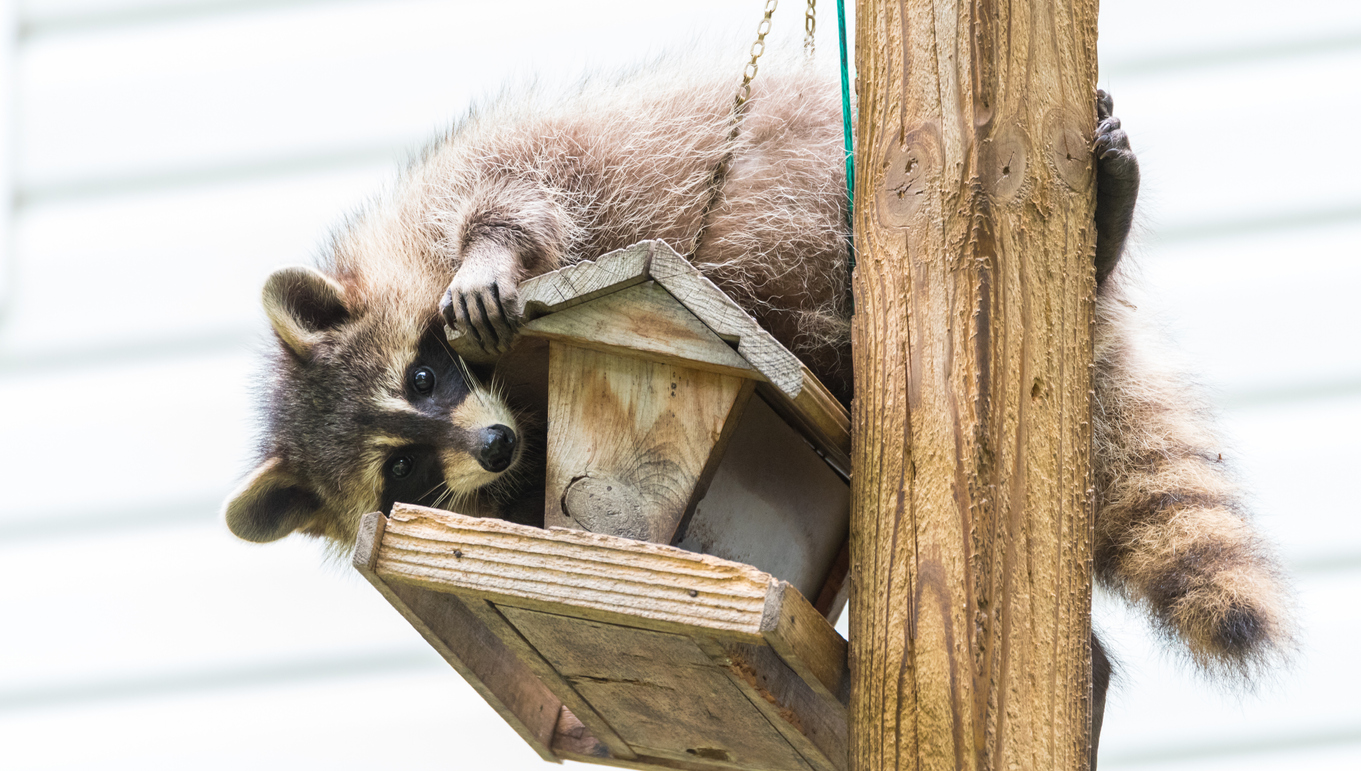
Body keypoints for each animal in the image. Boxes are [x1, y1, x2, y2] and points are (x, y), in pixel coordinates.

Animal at [223, 61, 1291, 749]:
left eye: (422, 377)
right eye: (399, 467)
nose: (488, 446)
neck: (517, 396)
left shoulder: (477, 179)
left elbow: (519, 187)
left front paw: (490, 252)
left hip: (837, 175)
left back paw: (1103, 226)